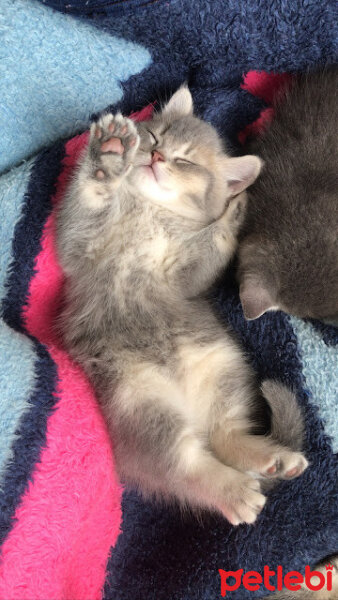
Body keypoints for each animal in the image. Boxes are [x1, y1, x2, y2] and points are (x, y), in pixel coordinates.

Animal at [56, 86, 308, 524]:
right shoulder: (81, 249)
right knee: (187, 463)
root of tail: (189, 408)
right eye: (155, 138)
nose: (157, 157)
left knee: (223, 436)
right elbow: (88, 203)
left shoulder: (185, 276)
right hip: (140, 401)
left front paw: (235, 211)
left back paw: (270, 460)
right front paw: (109, 156)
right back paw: (235, 489)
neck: (150, 210)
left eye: (185, 160)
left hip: (222, 365)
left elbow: (211, 246)